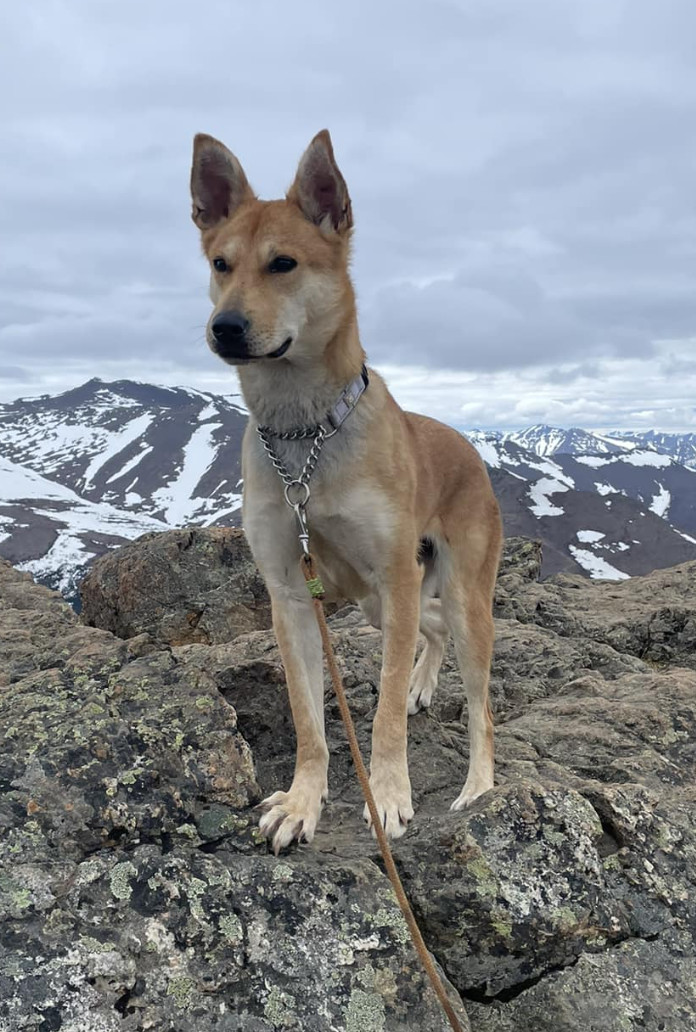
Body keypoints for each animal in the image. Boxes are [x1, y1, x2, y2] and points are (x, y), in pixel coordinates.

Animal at [190, 131, 501, 854]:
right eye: (221, 264)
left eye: (283, 264)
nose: (225, 327)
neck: (304, 431)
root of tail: (470, 449)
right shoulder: (290, 594)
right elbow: (308, 716)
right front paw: (304, 801)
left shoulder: (393, 572)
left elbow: (382, 716)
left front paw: (386, 794)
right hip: (379, 604)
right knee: (428, 630)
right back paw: (421, 682)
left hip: (456, 593)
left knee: (481, 702)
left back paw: (478, 787)